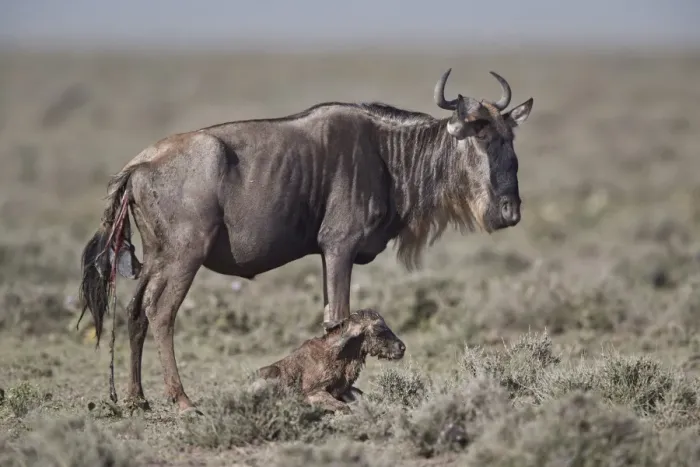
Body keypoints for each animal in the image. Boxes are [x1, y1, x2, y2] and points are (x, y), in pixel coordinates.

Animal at [78, 68, 534, 413]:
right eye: (480, 138)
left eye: (509, 140)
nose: (510, 212)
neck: (390, 155)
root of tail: (137, 165)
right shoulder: (339, 246)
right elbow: (340, 313)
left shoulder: (326, 253)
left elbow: (332, 317)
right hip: (185, 256)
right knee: (161, 312)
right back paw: (182, 399)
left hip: (158, 256)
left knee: (135, 310)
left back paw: (136, 398)